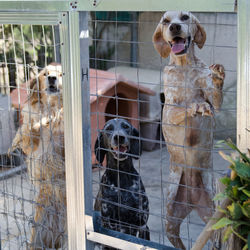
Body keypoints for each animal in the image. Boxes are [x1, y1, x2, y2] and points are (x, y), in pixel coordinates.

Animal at [152, 11, 225, 248]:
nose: (174, 27)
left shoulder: (215, 102)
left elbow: (213, 96)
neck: (184, 67)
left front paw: (217, 77)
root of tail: (192, 200)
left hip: (215, 219)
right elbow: (185, 107)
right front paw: (196, 106)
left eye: (185, 17)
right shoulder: (169, 110)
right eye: (165, 21)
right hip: (170, 222)